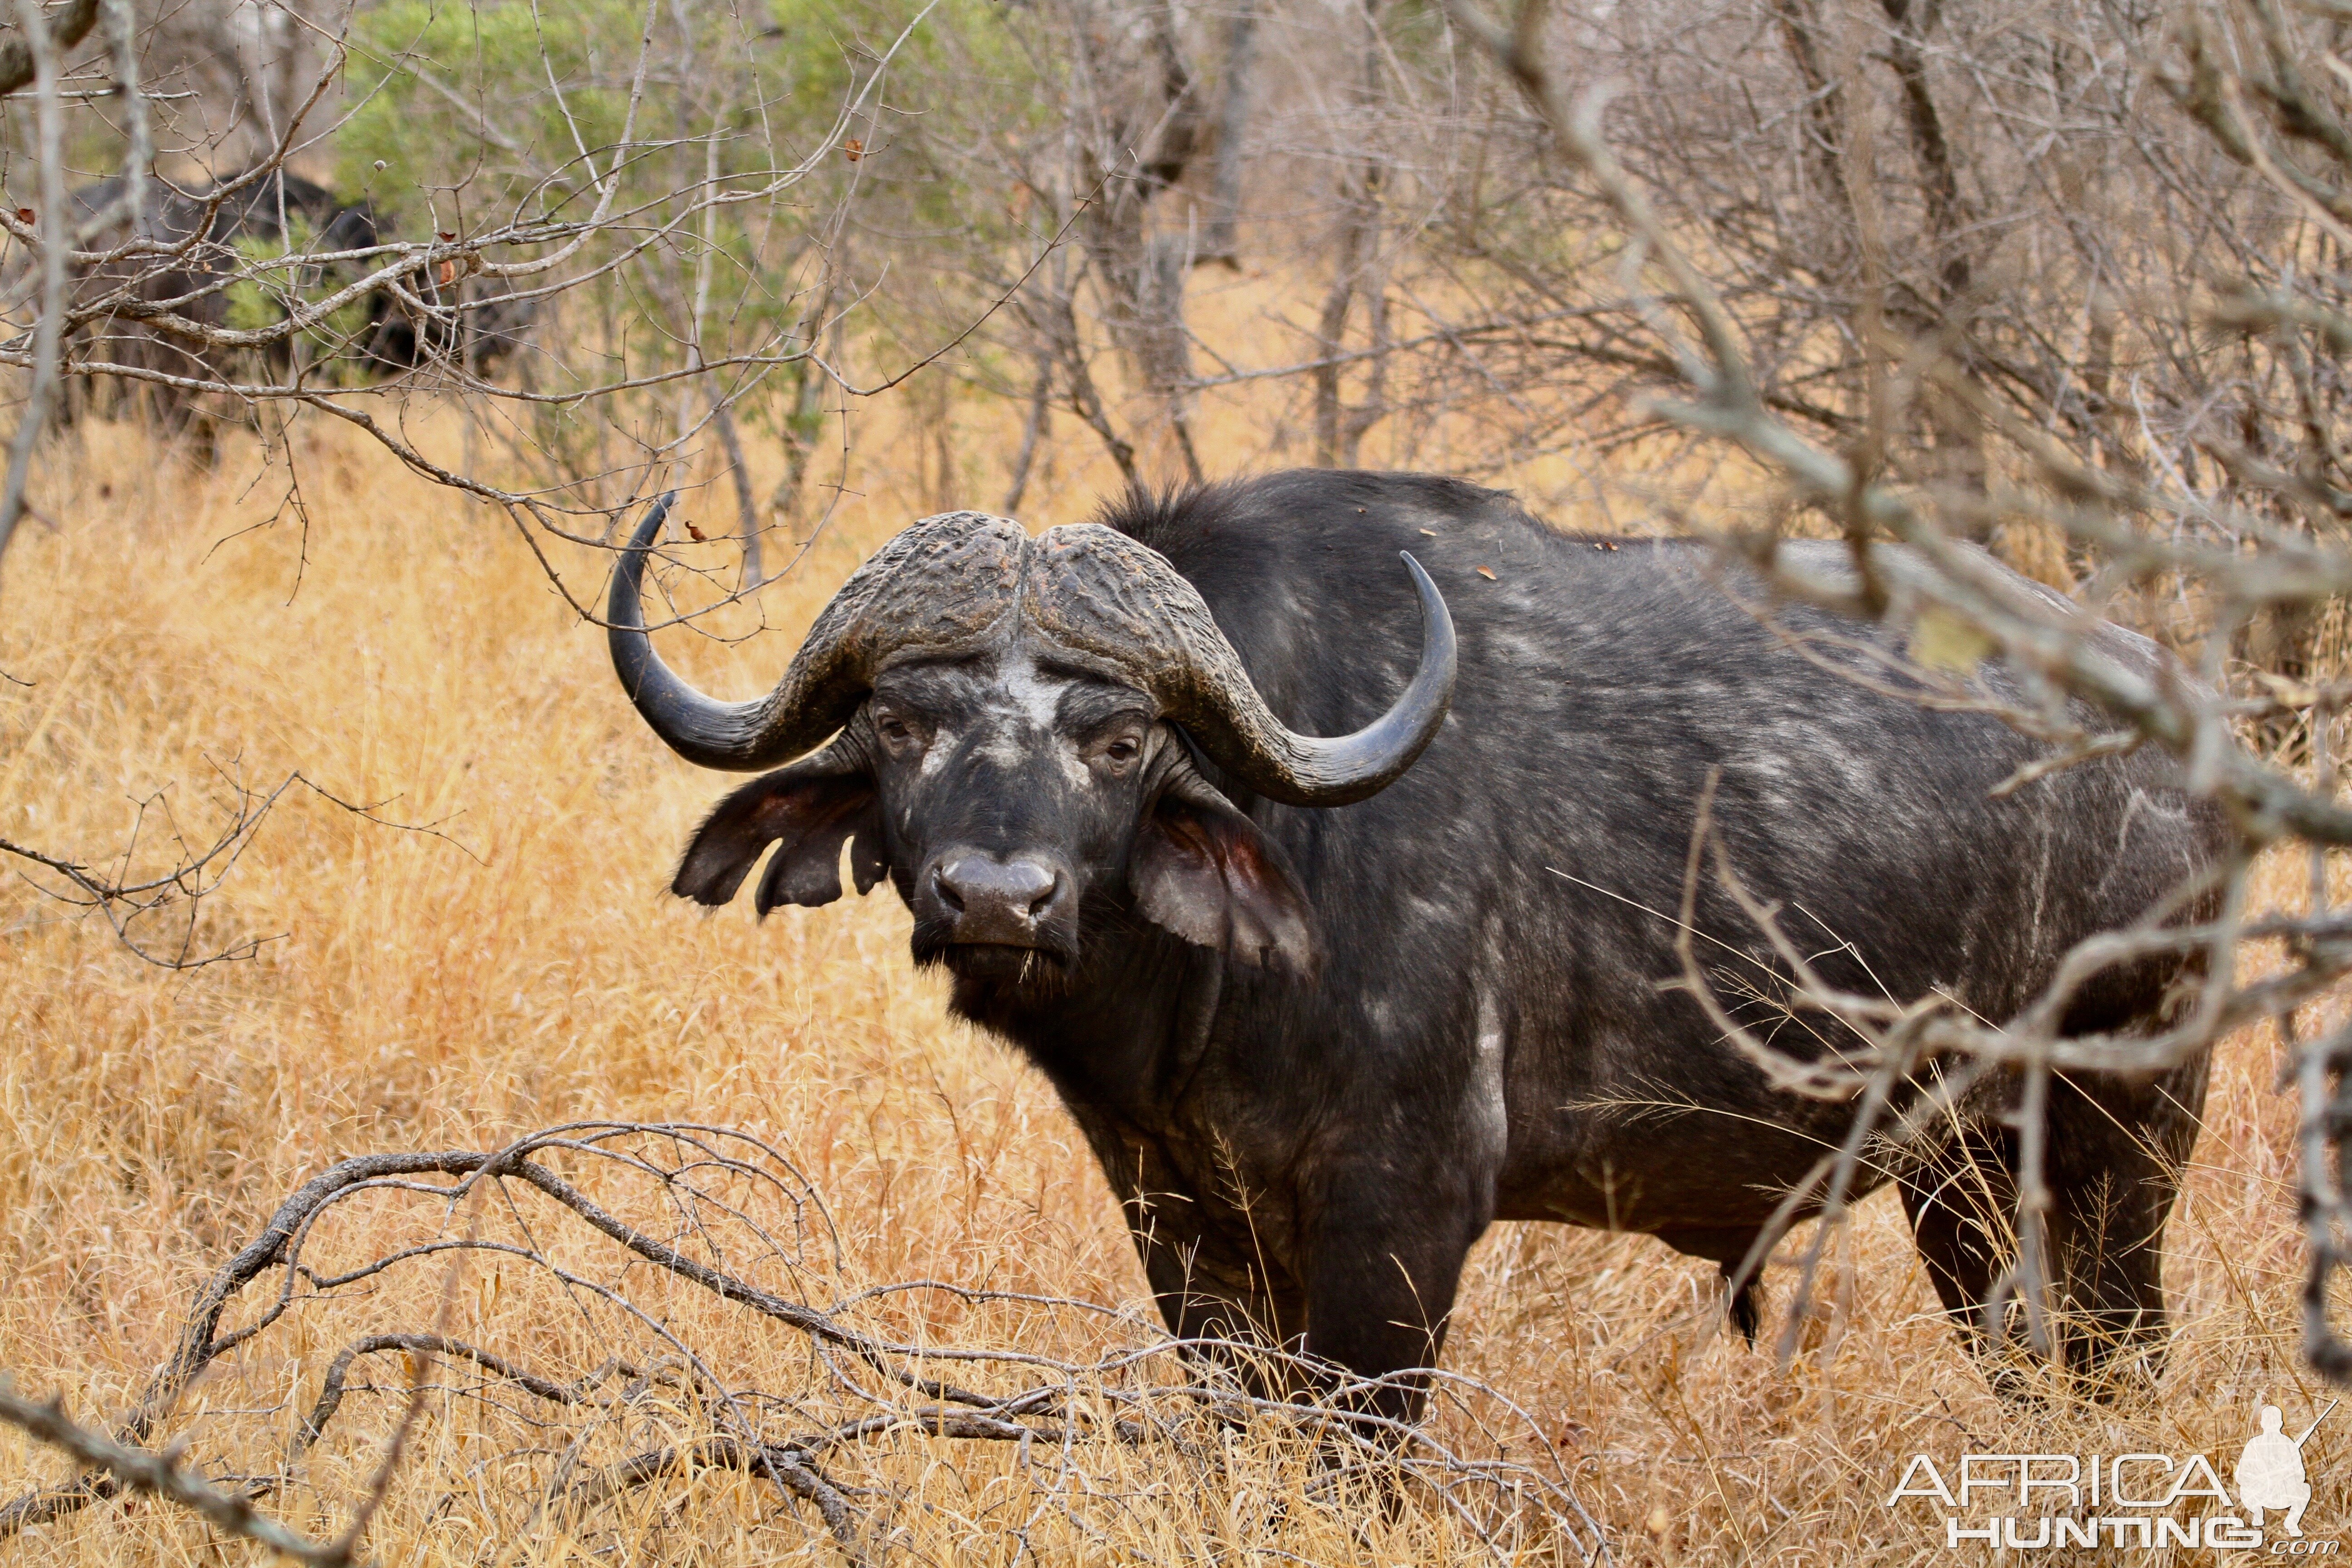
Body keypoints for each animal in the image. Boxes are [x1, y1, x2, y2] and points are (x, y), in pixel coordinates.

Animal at [602, 470, 2220, 1420]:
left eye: (1120, 740)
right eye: (899, 722)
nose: (999, 895)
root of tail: (2180, 726)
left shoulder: (1400, 1225)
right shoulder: (1183, 1223)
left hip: (2117, 1156)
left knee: (2123, 1359)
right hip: (1964, 1187)